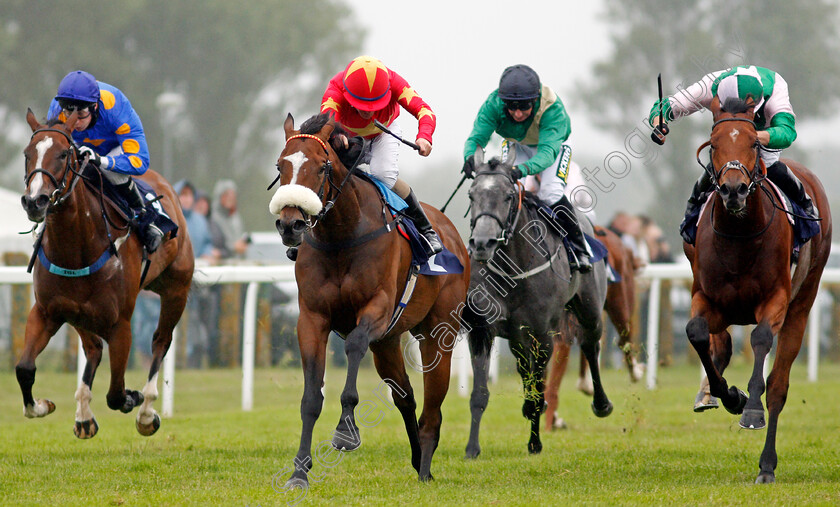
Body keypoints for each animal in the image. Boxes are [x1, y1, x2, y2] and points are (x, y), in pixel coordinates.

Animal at [18, 110, 192, 440]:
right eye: (27, 153)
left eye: (64, 154)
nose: (35, 201)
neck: (76, 247)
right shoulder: (46, 312)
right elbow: (24, 369)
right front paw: (43, 406)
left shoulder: (120, 324)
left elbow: (115, 393)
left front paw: (133, 398)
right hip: (77, 312)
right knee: (93, 349)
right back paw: (84, 416)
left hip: (176, 289)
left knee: (160, 341)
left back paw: (146, 411)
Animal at [270, 113, 470, 486]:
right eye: (281, 165)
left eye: (321, 167)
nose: (291, 224)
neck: (341, 237)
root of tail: (452, 232)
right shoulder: (312, 318)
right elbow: (310, 398)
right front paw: (299, 471)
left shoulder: (377, 309)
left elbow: (353, 347)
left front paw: (346, 431)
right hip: (388, 344)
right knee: (406, 398)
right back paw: (417, 458)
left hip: (438, 333)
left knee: (432, 408)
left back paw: (425, 468)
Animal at [460, 149, 612, 458]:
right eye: (471, 194)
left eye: (508, 195)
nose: (482, 243)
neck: (512, 269)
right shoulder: (482, 330)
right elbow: (480, 393)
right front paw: (472, 449)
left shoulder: (543, 333)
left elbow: (537, 390)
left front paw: (535, 442)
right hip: (517, 337)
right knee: (524, 366)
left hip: (589, 309)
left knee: (590, 345)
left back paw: (601, 403)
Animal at [684, 96, 832, 484]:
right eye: (714, 143)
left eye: (753, 143)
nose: (733, 189)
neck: (739, 236)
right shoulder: (706, 297)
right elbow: (696, 332)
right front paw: (728, 395)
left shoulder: (775, 300)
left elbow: (762, 340)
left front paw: (749, 408)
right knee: (718, 343)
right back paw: (708, 392)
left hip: (803, 303)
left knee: (779, 386)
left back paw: (767, 465)